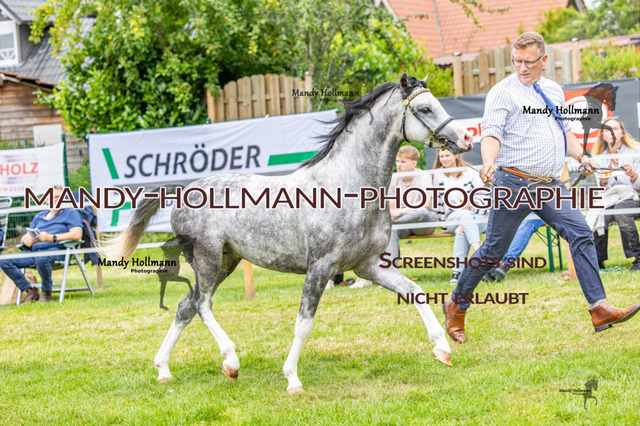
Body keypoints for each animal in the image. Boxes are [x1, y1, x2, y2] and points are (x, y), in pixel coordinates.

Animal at [102, 74, 473, 393]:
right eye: (425, 108)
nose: (465, 138)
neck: (349, 186)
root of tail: (183, 191)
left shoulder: (369, 266)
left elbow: (415, 292)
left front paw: (443, 349)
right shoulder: (320, 268)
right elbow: (304, 323)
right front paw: (292, 379)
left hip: (227, 261)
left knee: (185, 305)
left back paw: (164, 369)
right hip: (207, 259)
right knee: (202, 304)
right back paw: (231, 362)